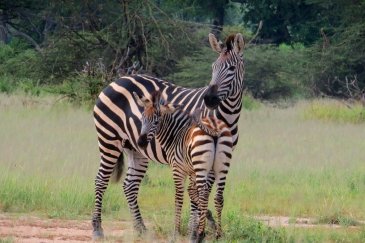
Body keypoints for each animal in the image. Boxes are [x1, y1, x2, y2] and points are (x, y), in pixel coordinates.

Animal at [134, 90, 233, 241]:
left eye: (156, 121)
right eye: (142, 119)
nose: (141, 143)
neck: (176, 135)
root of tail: (214, 126)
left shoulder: (178, 169)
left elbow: (179, 198)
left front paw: (177, 231)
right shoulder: (192, 171)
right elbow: (192, 192)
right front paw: (200, 224)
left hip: (202, 167)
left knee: (204, 195)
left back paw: (200, 235)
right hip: (222, 167)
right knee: (218, 197)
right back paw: (218, 234)